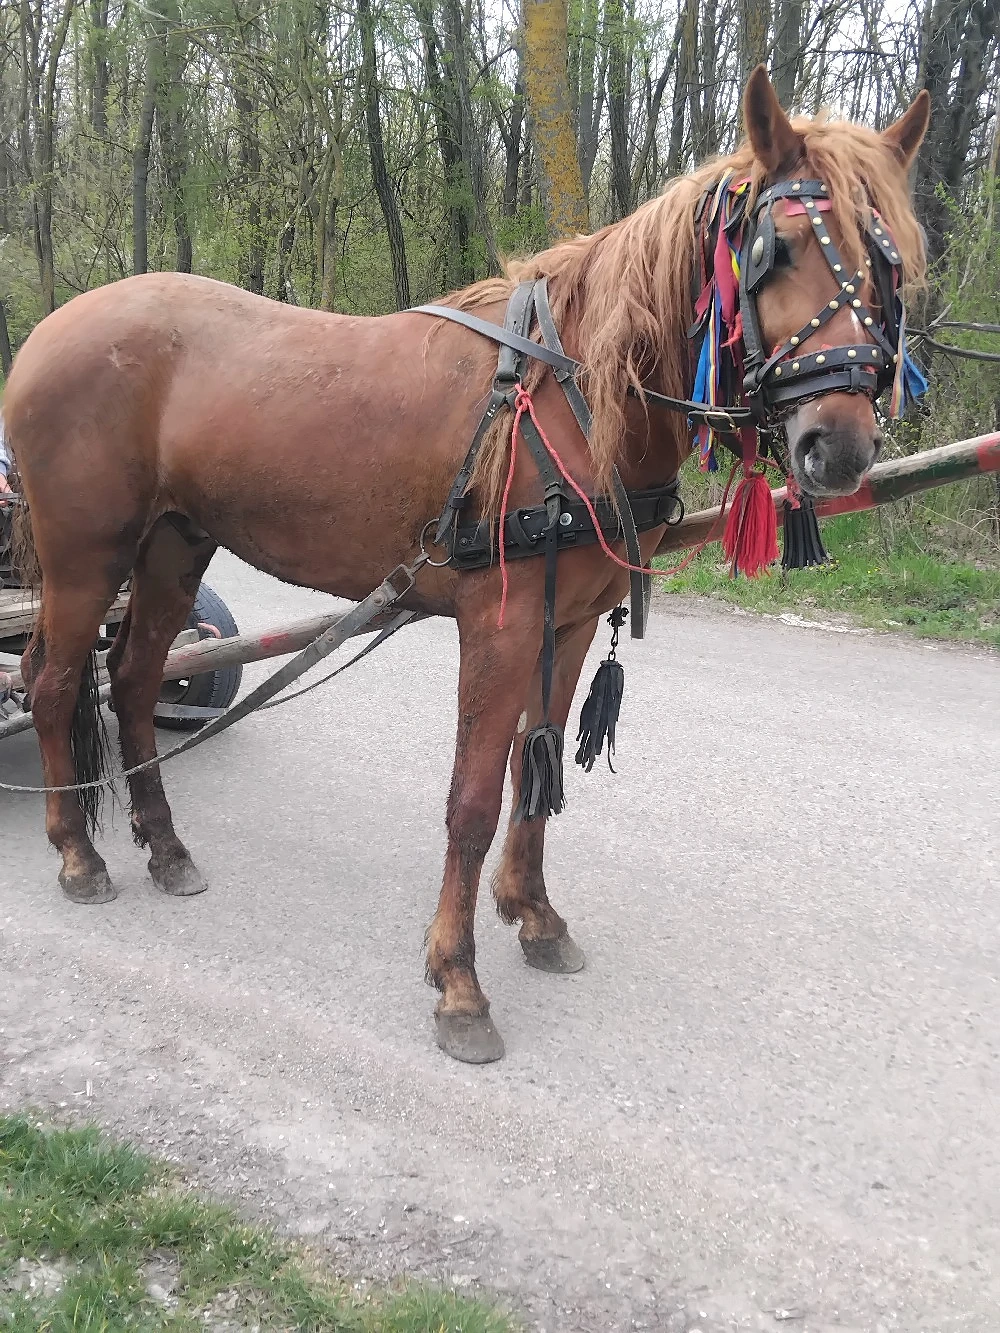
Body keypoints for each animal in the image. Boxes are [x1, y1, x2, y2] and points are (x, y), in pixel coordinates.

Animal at [4, 69, 929, 1062]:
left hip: (174, 545)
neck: (575, 394)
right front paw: (458, 982)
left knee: (136, 680)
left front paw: (534, 916)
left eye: (890, 263)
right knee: (55, 681)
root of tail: (49, 331)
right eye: (775, 249)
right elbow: (475, 798)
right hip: (86, 554)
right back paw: (78, 852)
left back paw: (166, 847)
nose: (839, 445)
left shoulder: (566, 622)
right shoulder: (501, 622)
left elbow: (537, 771)